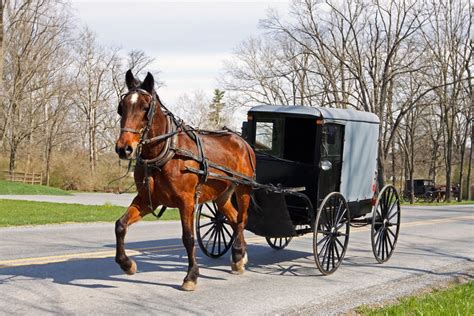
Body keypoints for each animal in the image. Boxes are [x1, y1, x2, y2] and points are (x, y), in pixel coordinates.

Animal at [114, 69, 256, 292]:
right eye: (122, 108)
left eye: (145, 108)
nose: (124, 148)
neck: (167, 152)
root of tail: (242, 141)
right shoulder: (147, 199)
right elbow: (120, 225)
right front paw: (127, 264)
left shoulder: (186, 201)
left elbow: (188, 238)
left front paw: (191, 276)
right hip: (222, 195)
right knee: (233, 220)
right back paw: (238, 257)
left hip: (243, 189)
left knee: (242, 219)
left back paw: (239, 254)